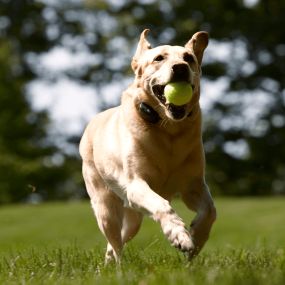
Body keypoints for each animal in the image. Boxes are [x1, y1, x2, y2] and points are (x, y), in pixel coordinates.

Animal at [79, 28, 216, 262]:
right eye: (159, 58)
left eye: (188, 58)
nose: (180, 68)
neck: (169, 130)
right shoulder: (136, 185)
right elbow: (163, 205)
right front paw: (180, 236)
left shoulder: (193, 185)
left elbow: (210, 210)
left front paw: (196, 238)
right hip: (105, 207)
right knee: (116, 244)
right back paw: (119, 266)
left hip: (133, 217)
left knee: (118, 241)